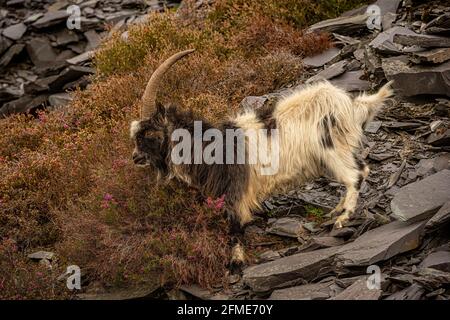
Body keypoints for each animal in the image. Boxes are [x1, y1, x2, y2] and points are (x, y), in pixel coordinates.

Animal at [130, 49, 394, 264]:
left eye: (150, 134)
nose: (135, 158)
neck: (212, 146)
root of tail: (350, 105)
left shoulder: (236, 193)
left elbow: (235, 228)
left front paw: (236, 262)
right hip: (334, 155)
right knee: (359, 171)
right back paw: (335, 211)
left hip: (331, 151)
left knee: (355, 175)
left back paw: (343, 218)